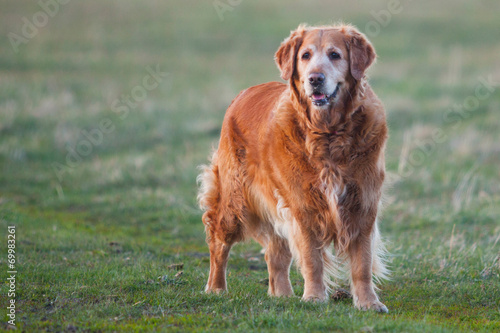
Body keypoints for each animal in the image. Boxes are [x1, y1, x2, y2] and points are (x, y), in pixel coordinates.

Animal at [197, 23, 388, 312]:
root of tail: (242, 94)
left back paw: (282, 295)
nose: (315, 79)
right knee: (219, 243)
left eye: (335, 55)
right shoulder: (303, 205)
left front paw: (368, 302)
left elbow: (362, 264)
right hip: (234, 200)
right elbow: (312, 259)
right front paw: (314, 297)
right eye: (305, 56)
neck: (328, 134)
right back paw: (216, 288)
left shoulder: (363, 203)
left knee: (275, 253)